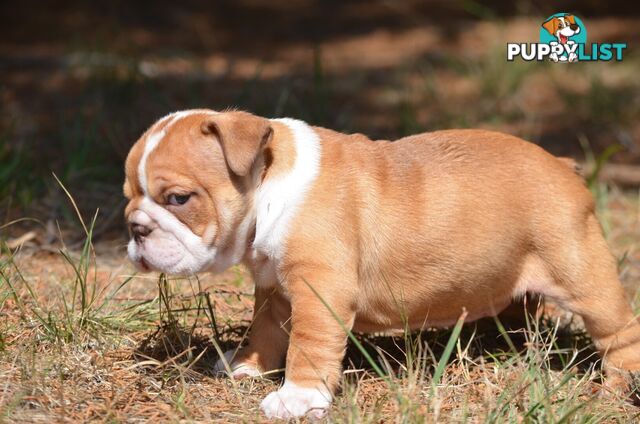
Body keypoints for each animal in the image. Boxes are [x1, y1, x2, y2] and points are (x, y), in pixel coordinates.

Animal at [125, 108, 640, 418]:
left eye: (178, 199)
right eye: (129, 194)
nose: (135, 227)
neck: (269, 184)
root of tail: (564, 165)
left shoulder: (318, 291)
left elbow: (308, 347)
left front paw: (297, 398)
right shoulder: (274, 288)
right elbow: (266, 331)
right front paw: (247, 365)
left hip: (580, 270)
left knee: (617, 329)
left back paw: (618, 384)